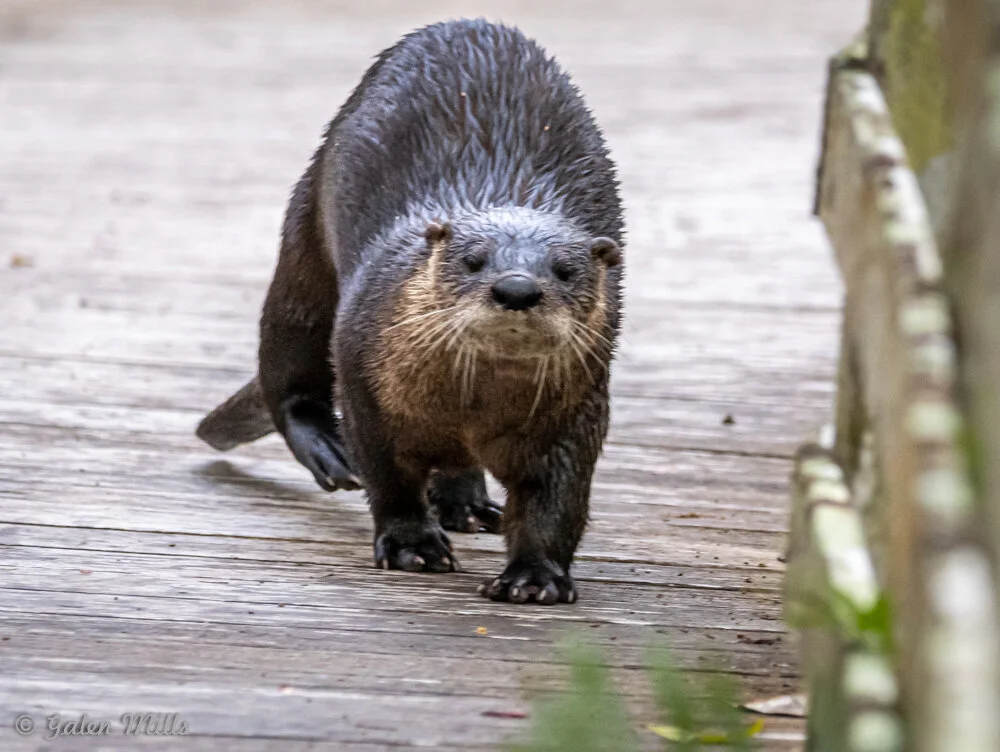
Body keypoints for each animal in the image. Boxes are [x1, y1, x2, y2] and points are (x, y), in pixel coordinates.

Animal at [196, 19, 624, 604]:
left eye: (564, 270)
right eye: (473, 260)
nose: (517, 288)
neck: (471, 411)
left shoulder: (575, 415)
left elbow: (554, 501)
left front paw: (535, 577)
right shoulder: (366, 386)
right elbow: (389, 475)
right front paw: (410, 546)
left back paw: (467, 504)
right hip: (305, 241)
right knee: (288, 363)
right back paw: (330, 451)